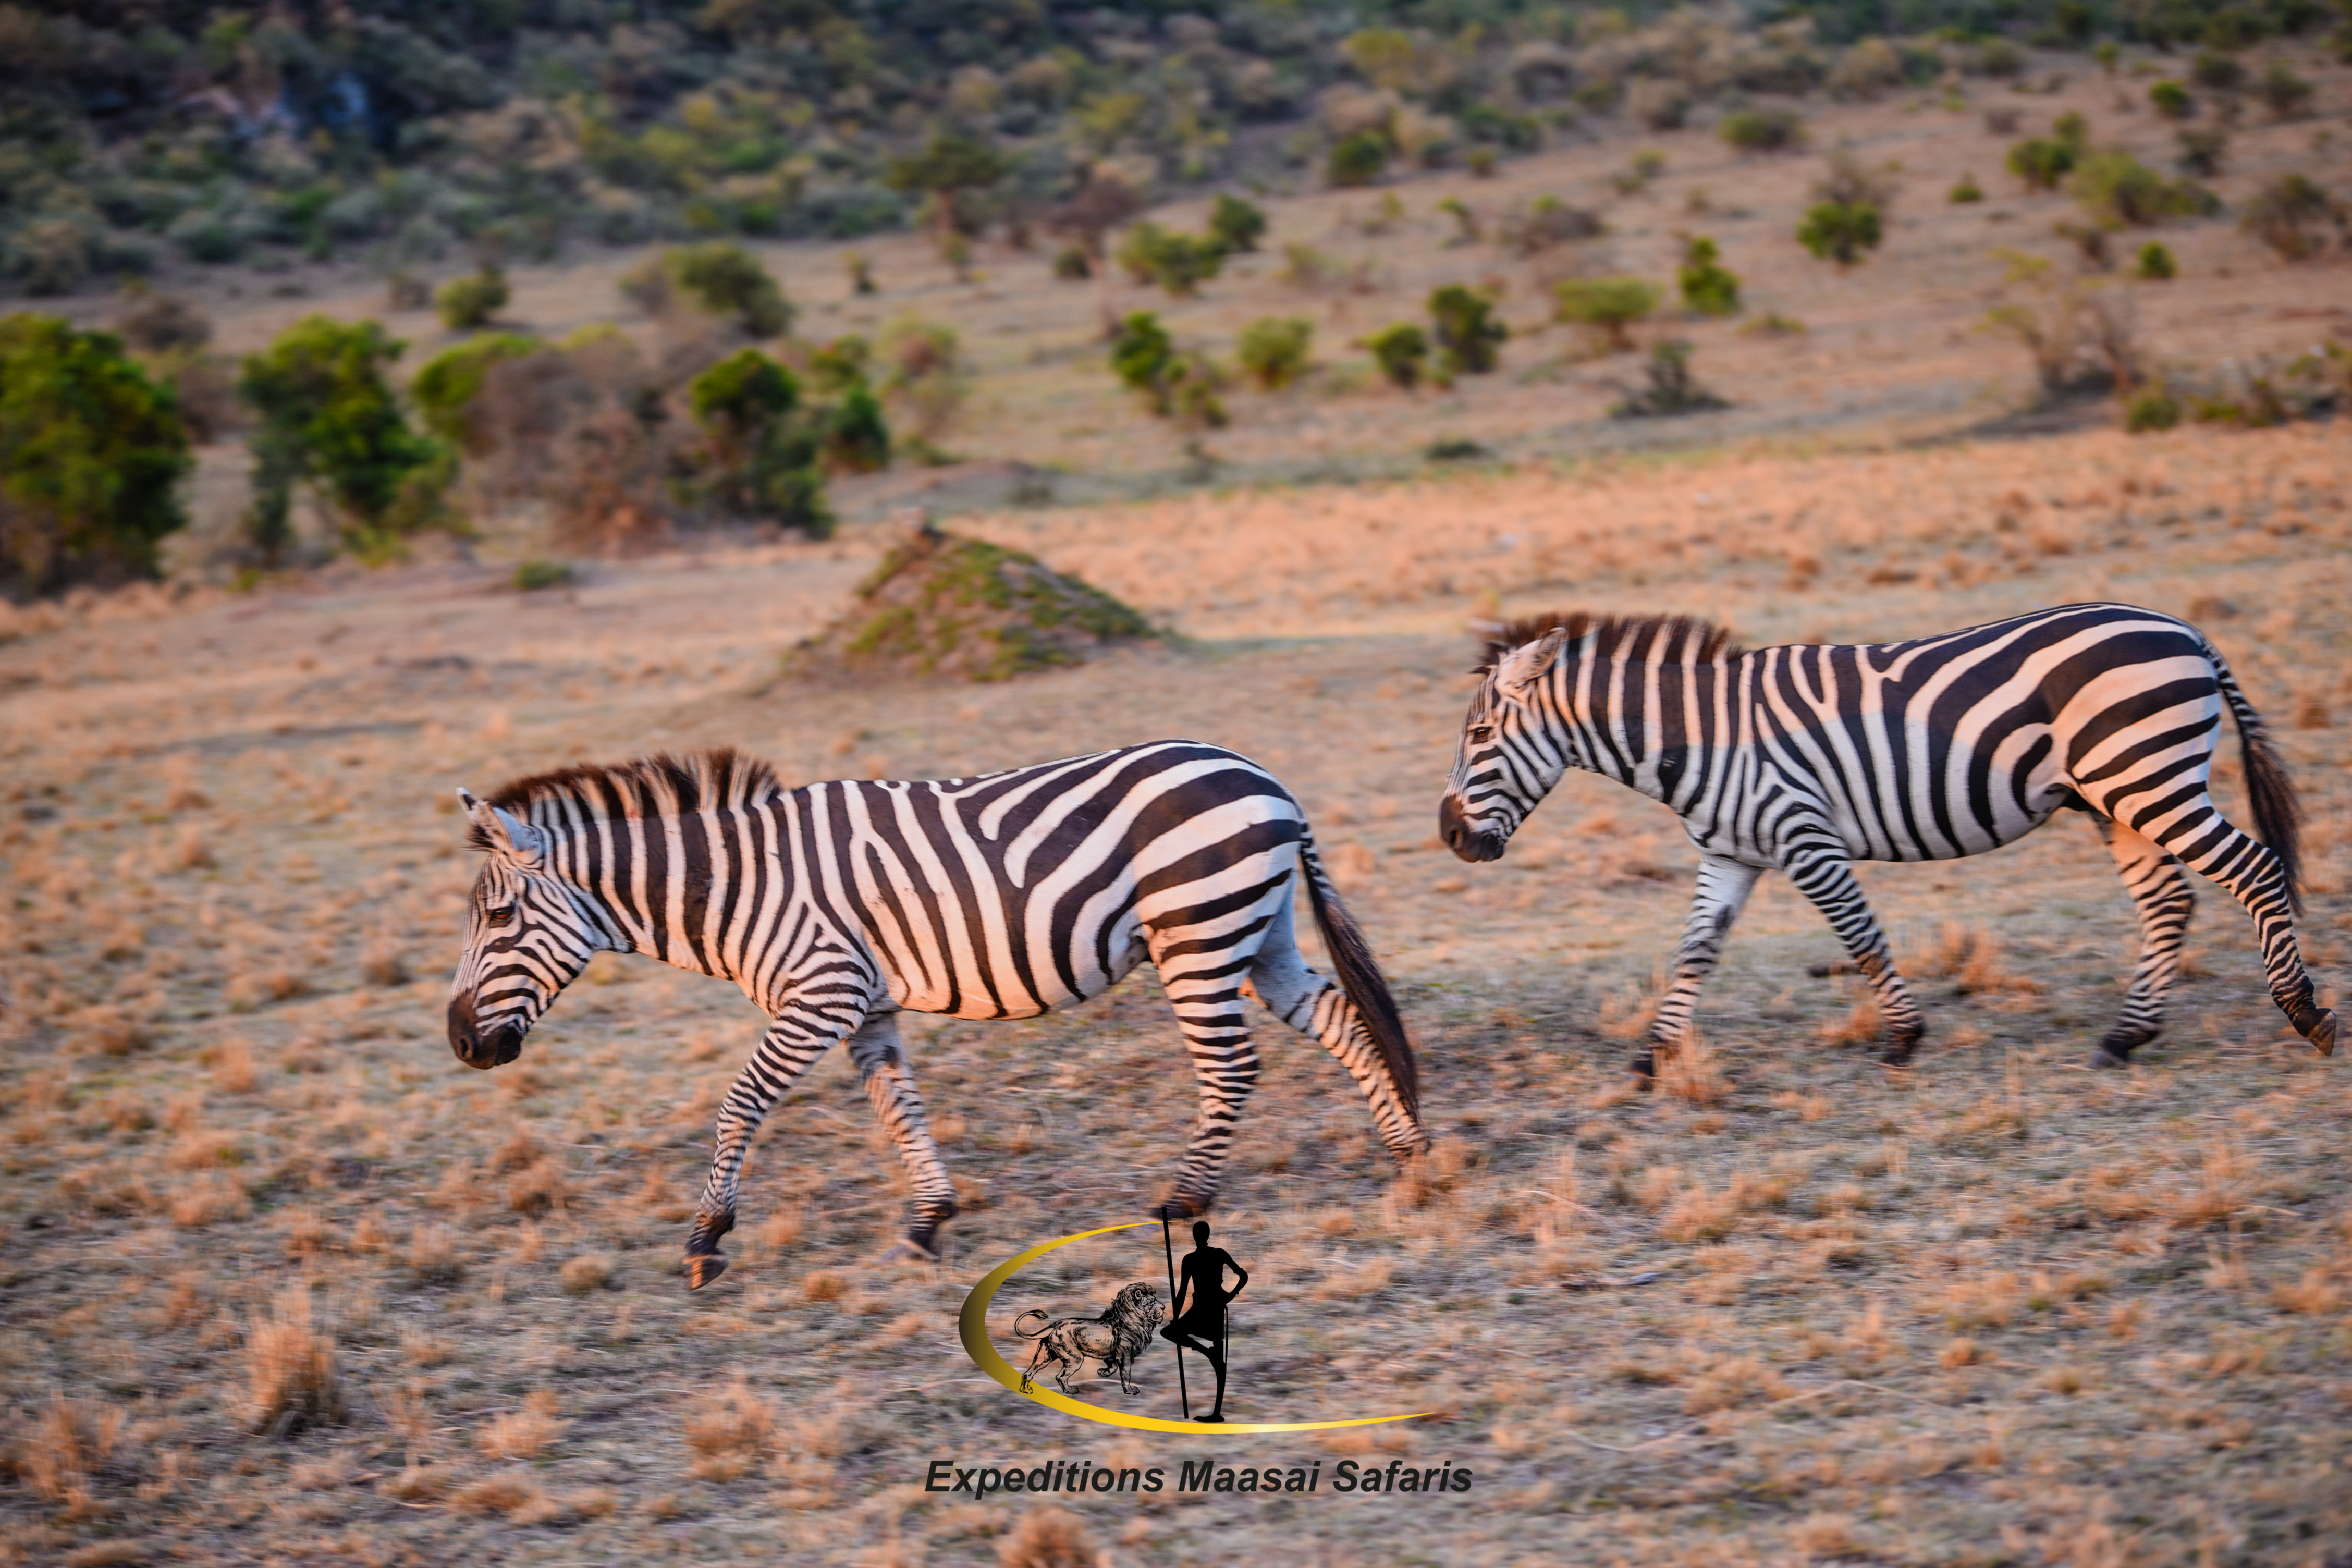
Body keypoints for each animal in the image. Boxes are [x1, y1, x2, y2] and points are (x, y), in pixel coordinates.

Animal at [446, 741, 1428, 1289]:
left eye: (498, 919)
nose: (459, 1042)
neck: (738, 885)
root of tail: (1265, 779)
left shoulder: (821, 989)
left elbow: (739, 1104)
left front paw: (705, 1238)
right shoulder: (865, 1002)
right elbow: (898, 1108)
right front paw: (928, 1220)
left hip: (1197, 929)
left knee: (1231, 1067)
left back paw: (1187, 1197)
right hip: (1254, 932)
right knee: (1342, 1021)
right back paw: (1410, 1162)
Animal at [1436, 604, 2336, 1080]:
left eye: (1479, 735)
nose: (1448, 836)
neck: (1700, 738)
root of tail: (2180, 626)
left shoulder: (1803, 834)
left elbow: (1860, 935)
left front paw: (1904, 1036)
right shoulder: (1732, 851)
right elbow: (1695, 950)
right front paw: (1655, 1057)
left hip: (2149, 778)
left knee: (2254, 870)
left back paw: (2306, 1014)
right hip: (2114, 797)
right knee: (2169, 901)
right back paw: (2128, 1034)